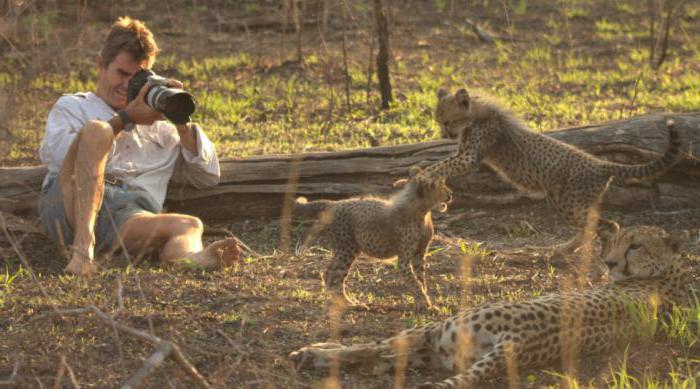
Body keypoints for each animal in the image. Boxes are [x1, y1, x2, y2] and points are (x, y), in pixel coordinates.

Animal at [288, 223, 688, 386]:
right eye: (616, 243)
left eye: (635, 246)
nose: (610, 263)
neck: (670, 273)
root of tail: (517, 340)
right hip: (444, 351)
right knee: (385, 358)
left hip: (440, 331)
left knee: (374, 349)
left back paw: (311, 352)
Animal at [292, 167, 452, 310]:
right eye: (441, 185)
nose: (450, 193)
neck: (422, 210)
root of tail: (334, 203)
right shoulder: (404, 259)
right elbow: (414, 281)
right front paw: (425, 303)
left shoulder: (419, 254)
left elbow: (420, 279)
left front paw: (423, 301)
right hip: (346, 248)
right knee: (334, 275)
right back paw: (348, 304)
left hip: (347, 249)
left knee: (329, 273)